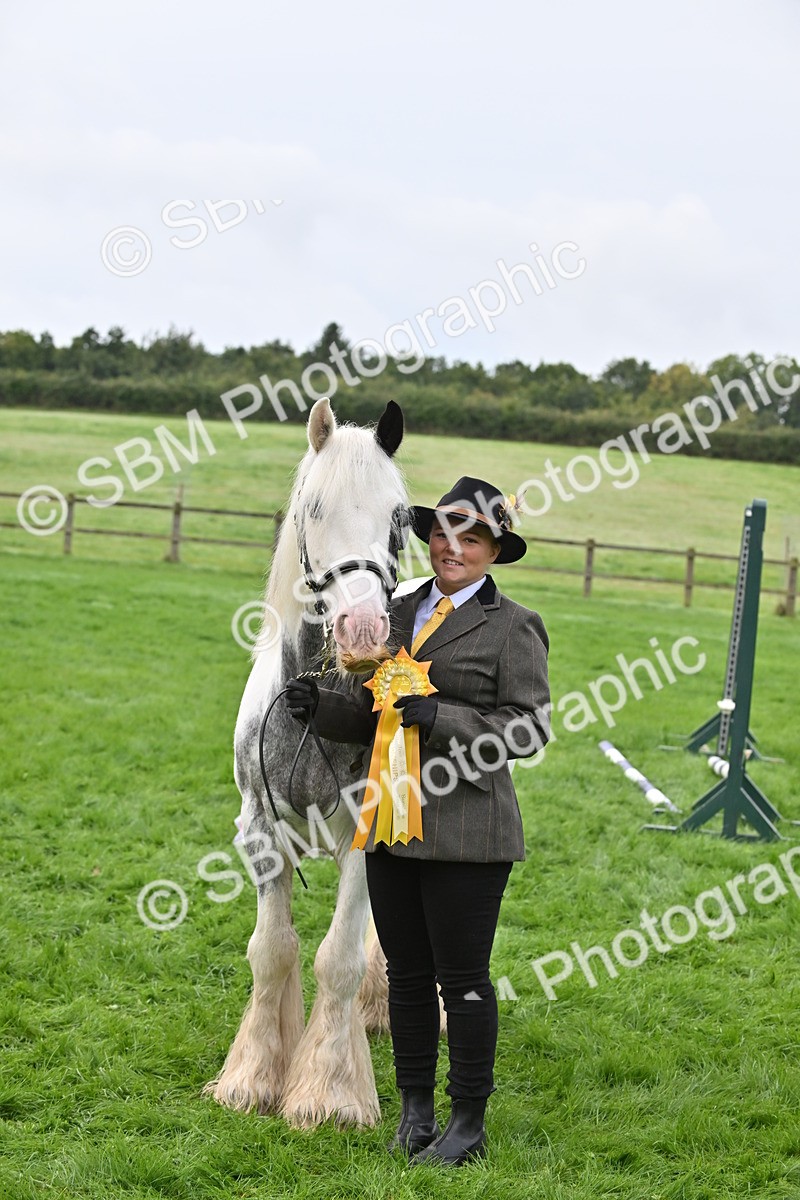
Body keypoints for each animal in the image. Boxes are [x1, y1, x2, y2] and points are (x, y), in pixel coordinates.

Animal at [206, 396, 414, 1129]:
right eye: (314, 508)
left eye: (400, 517)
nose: (363, 633)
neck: (318, 703)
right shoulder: (261, 835)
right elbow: (273, 952)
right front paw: (252, 1078)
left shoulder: (367, 839)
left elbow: (339, 959)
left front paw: (330, 1091)